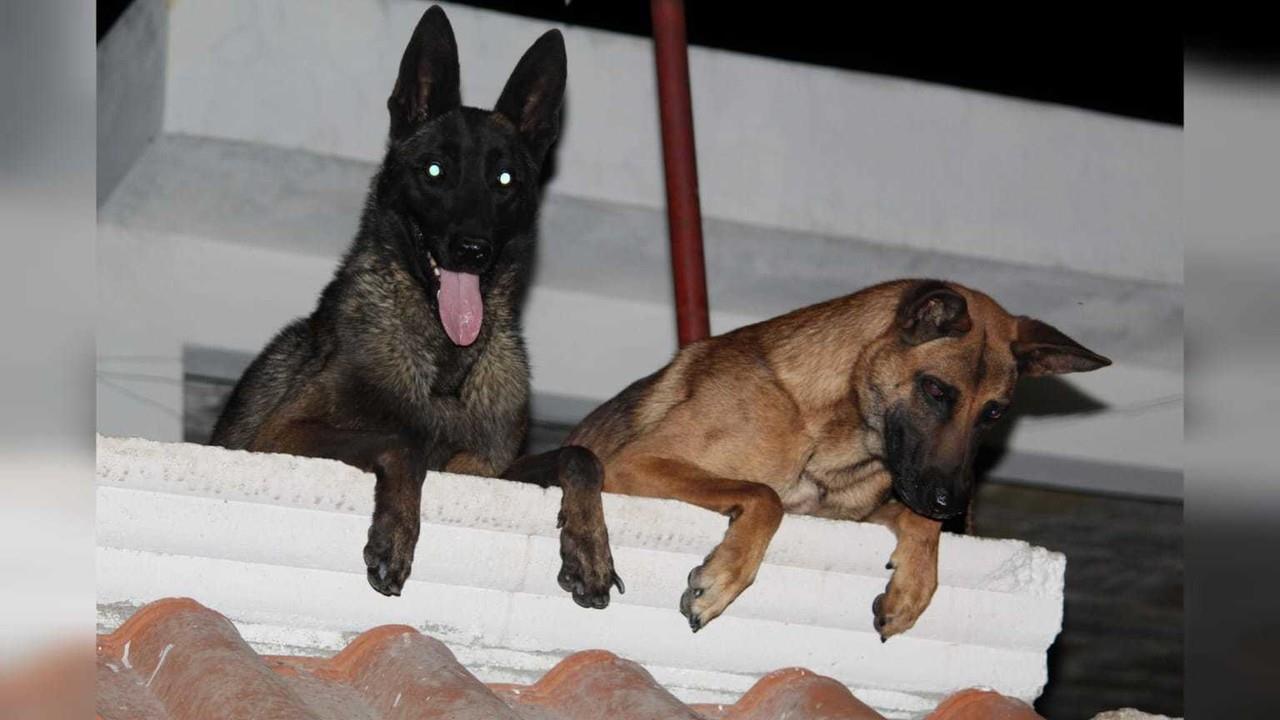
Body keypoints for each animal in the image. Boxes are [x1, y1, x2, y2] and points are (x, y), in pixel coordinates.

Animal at [211, 7, 619, 604]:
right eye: (434, 171)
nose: (472, 249)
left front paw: (589, 544)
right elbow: (402, 440)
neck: (445, 371)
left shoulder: (485, 474)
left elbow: (580, 457)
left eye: (505, 179)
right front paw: (396, 531)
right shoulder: (279, 437)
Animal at [504, 278, 1105, 635]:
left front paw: (913, 584)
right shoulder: (638, 465)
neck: (829, 430)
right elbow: (764, 495)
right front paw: (723, 578)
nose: (952, 505)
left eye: (994, 414)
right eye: (936, 390)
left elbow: (915, 525)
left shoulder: (848, 514)